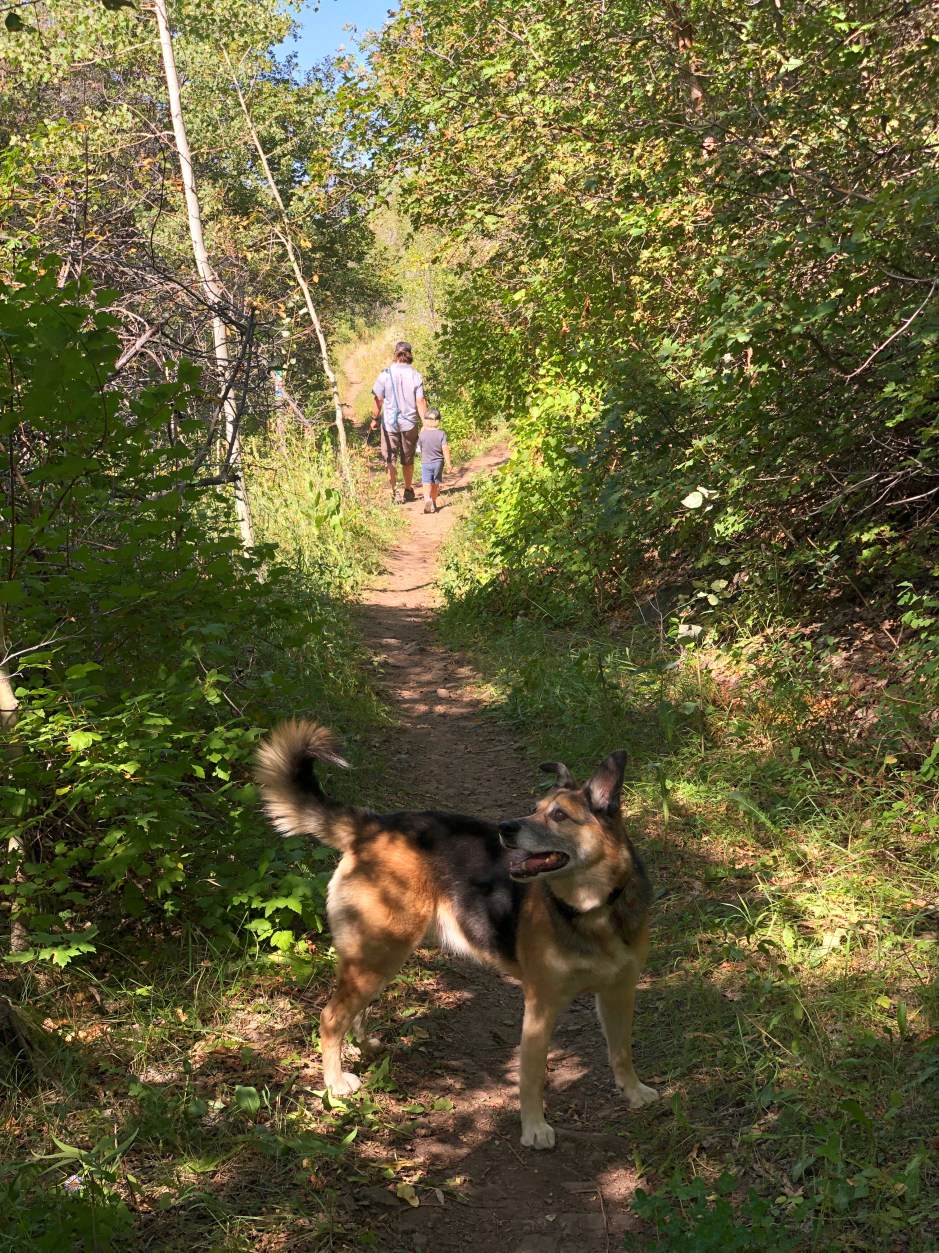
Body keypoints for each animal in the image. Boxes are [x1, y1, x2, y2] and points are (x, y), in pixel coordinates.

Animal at [255, 720, 659, 1149]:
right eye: (534, 809)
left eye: (560, 815)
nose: (504, 828)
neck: (593, 908)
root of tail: (372, 825)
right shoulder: (540, 1007)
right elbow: (532, 1077)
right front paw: (534, 1127)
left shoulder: (619, 993)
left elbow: (621, 1051)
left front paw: (633, 1091)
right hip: (379, 952)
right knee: (331, 1017)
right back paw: (334, 1084)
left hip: (377, 956)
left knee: (352, 1009)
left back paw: (363, 1046)